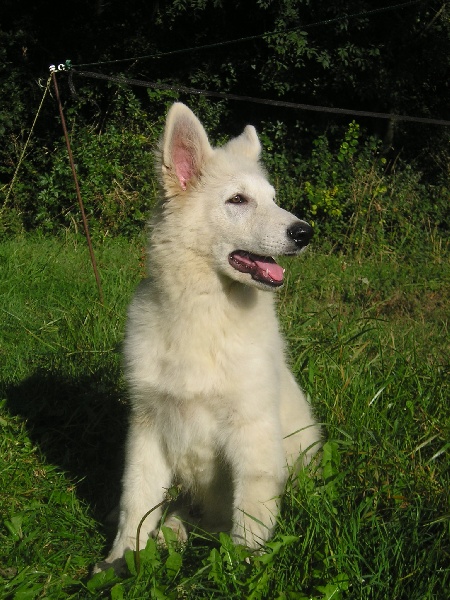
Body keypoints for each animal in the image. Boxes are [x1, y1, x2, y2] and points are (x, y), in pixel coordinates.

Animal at [98, 103, 320, 572]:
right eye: (238, 200)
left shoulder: (251, 432)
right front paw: (121, 558)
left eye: (273, 198)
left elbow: (250, 515)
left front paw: (242, 568)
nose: (305, 232)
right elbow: (136, 498)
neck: (203, 313)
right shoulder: (149, 425)